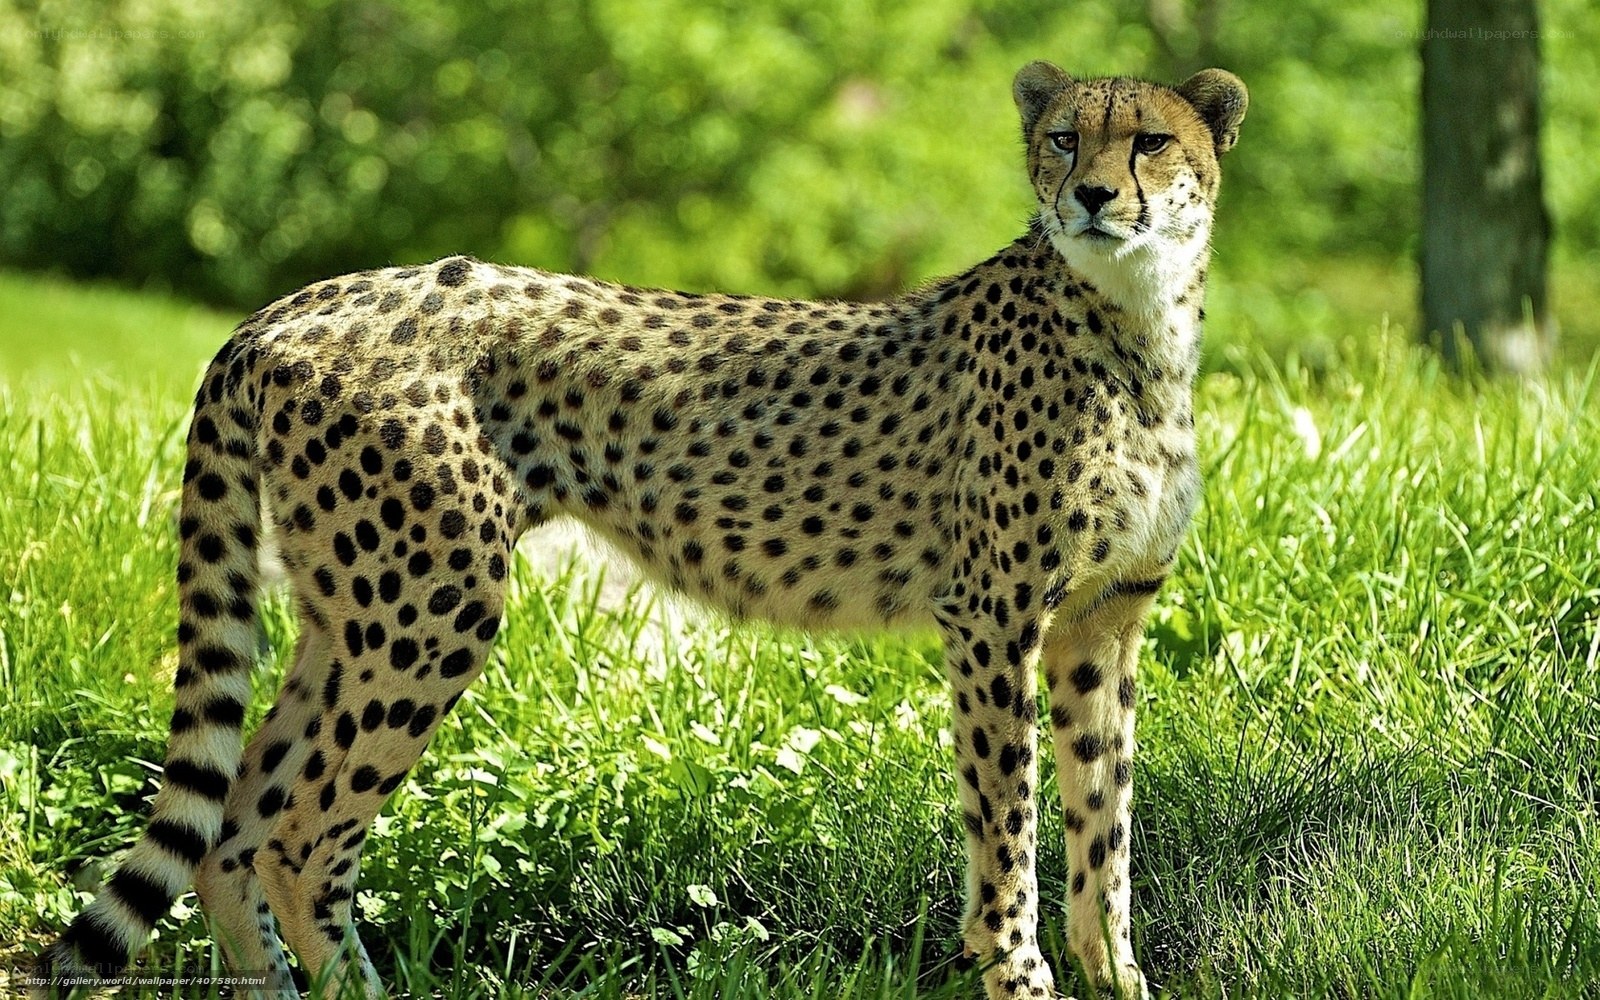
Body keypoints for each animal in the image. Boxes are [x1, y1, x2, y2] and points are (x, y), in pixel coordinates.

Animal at [35, 61, 1246, 999]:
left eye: (1150, 140)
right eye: (1061, 137)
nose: (1092, 195)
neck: (1135, 320)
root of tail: (290, 304)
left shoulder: (1100, 622)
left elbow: (1104, 821)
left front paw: (1117, 977)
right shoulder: (993, 617)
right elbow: (1011, 828)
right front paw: (1020, 974)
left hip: (352, 611)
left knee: (231, 829)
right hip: (431, 606)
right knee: (295, 840)